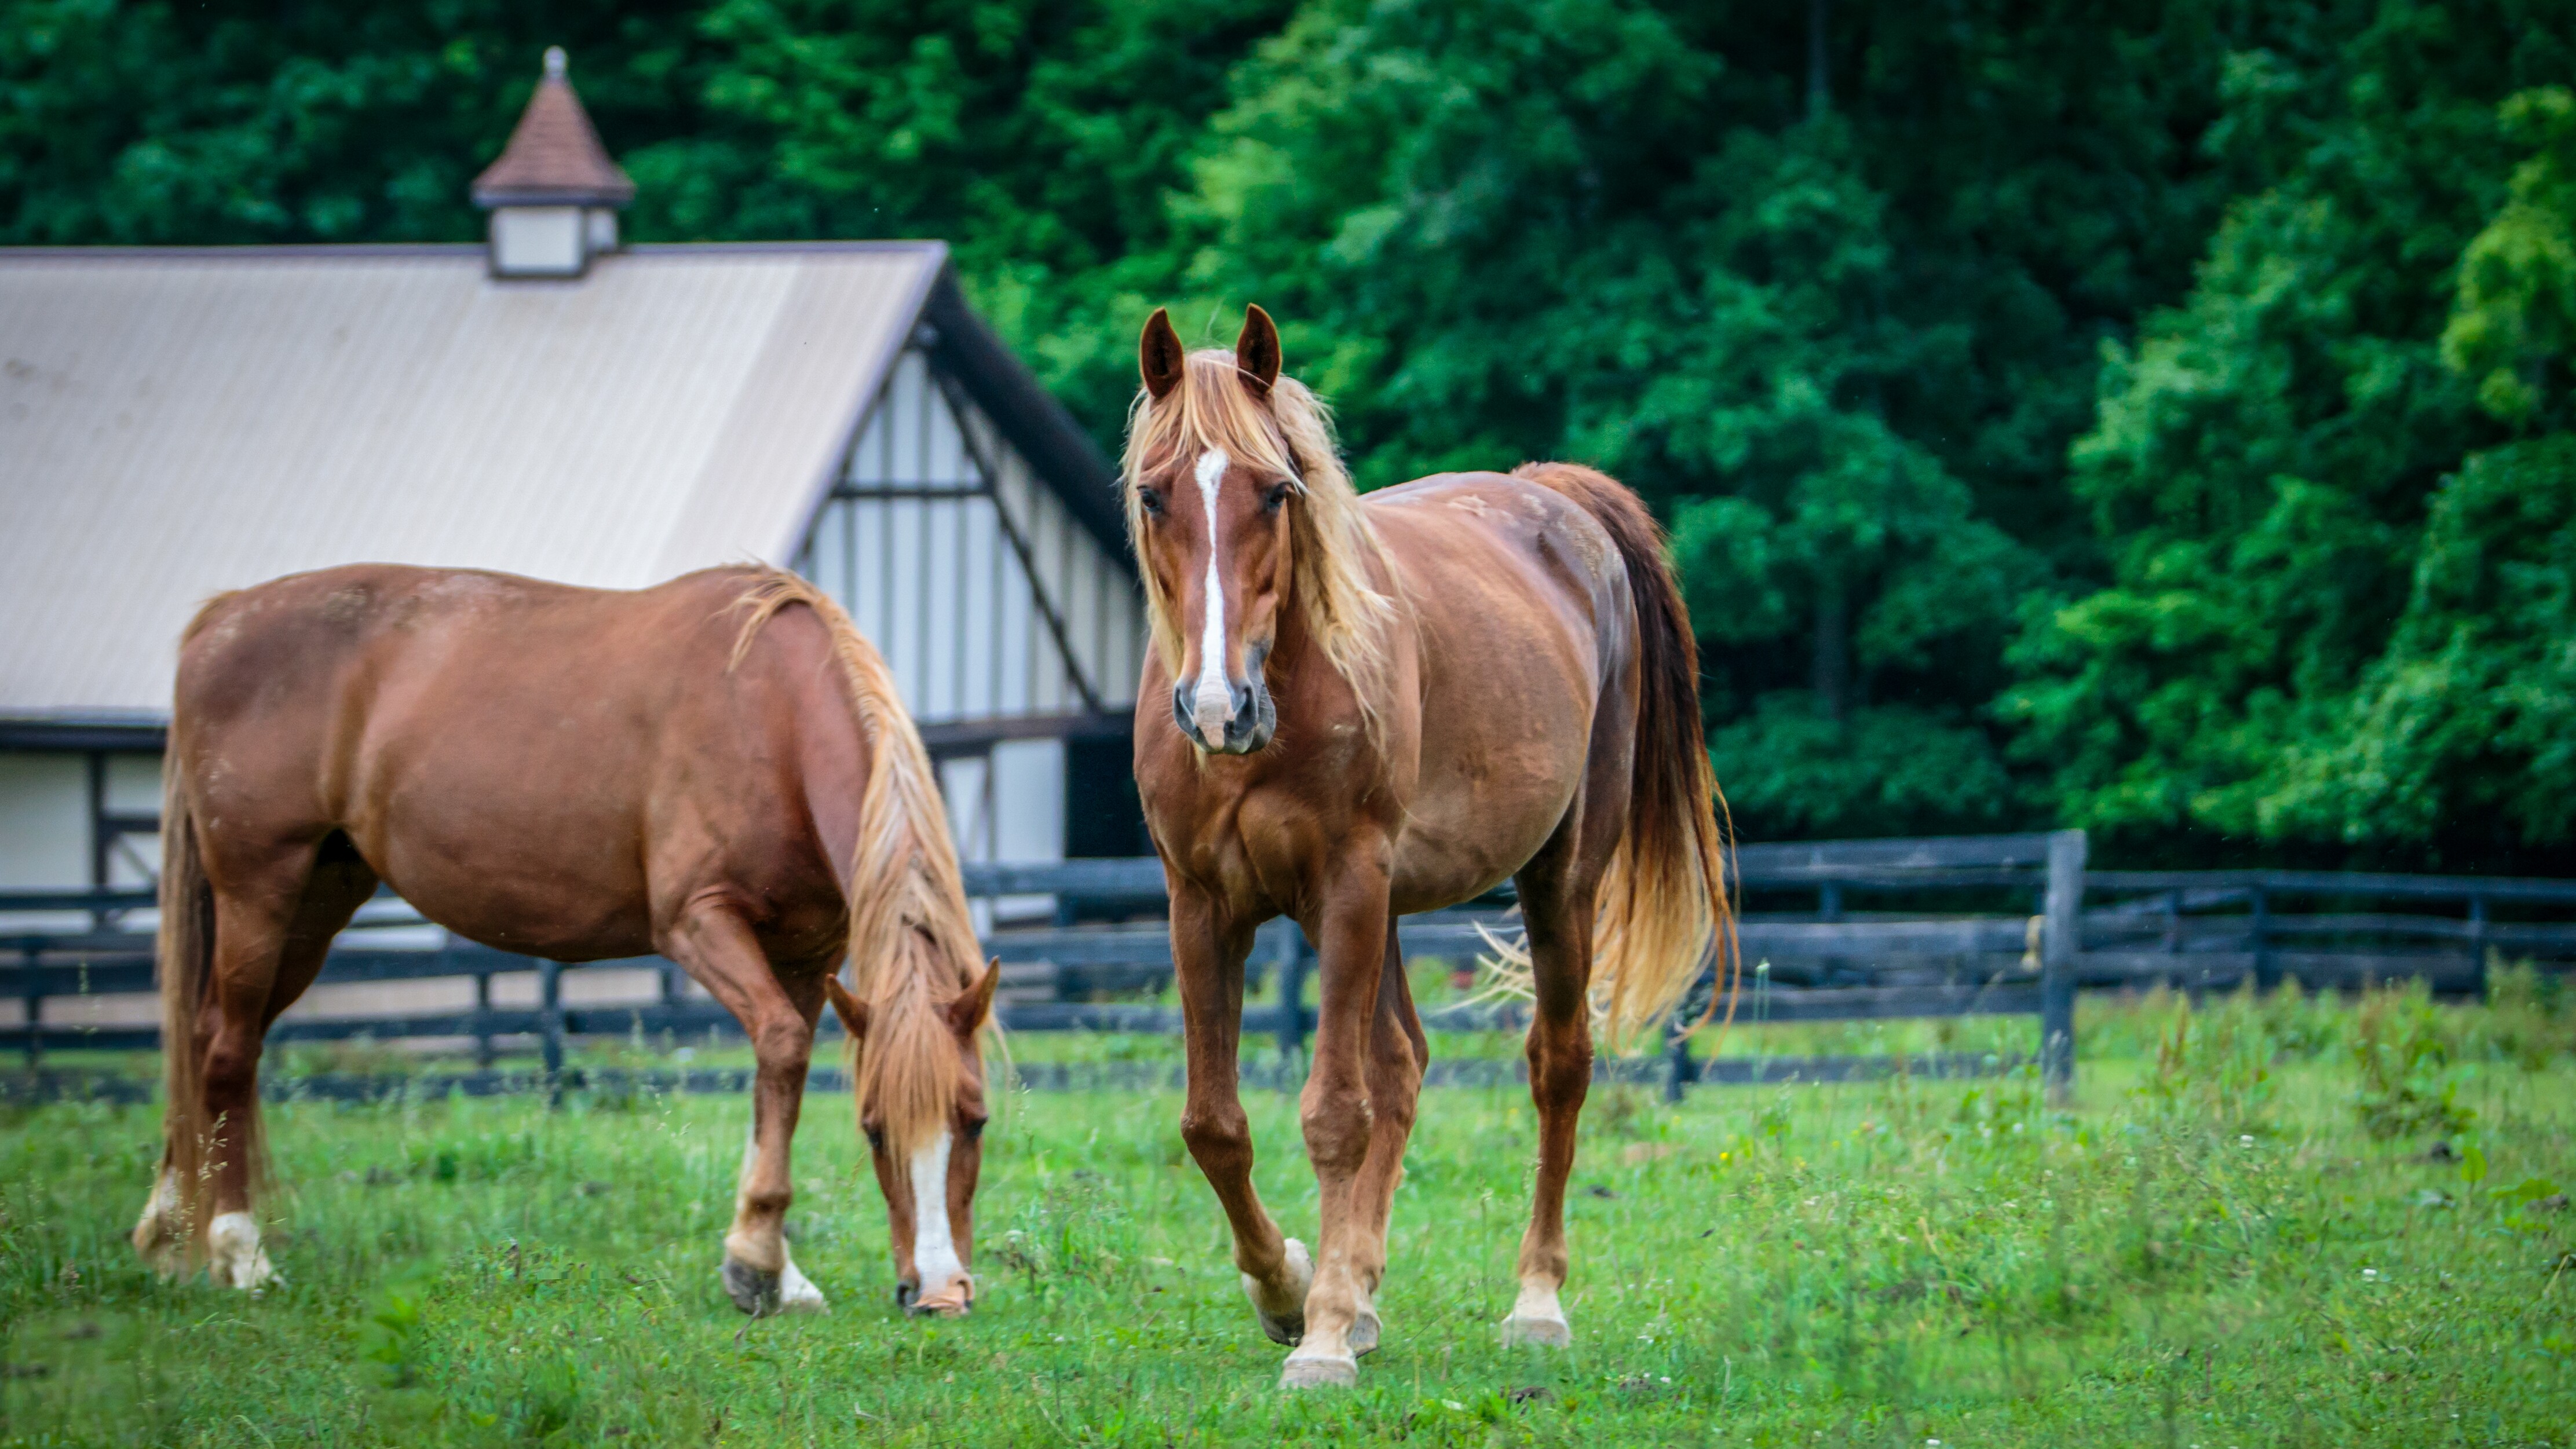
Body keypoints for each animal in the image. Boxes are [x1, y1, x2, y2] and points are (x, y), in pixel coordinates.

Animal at [130, 569, 999, 1328]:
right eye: (873, 1129)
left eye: (978, 1121)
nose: (937, 1294)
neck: (772, 714)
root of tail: (224, 615)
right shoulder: (699, 921)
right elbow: (781, 1048)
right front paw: (754, 1262)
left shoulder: (803, 954)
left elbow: (776, 1084)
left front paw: (777, 1272)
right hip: (260, 892)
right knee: (228, 1050)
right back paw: (240, 1253)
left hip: (316, 901)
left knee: (206, 1041)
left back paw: (169, 1237)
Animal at [1123, 309, 1731, 1389]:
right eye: (1155, 493)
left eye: (1275, 490)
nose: (1217, 707)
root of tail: (1554, 495)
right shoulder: (1200, 903)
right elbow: (1214, 1124)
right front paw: (1288, 1289)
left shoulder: (1347, 885)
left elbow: (1333, 1112)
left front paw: (1318, 1336)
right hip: (1388, 907)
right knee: (1402, 1066)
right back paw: (1359, 1289)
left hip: (1553, 881)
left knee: (1556, 1065)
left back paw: (1533, 1302)